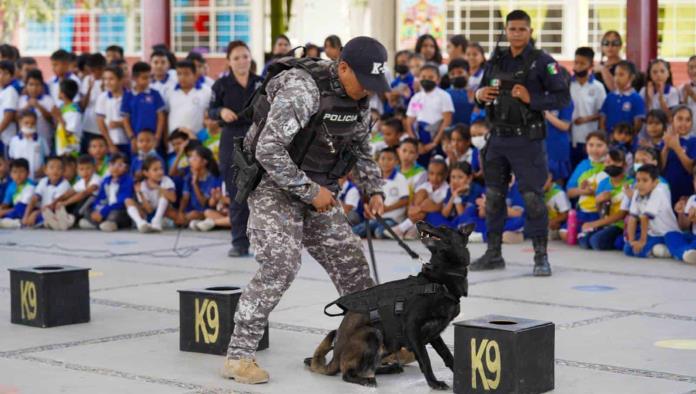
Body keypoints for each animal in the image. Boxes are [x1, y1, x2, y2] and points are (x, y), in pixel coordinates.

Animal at [304, 223, 474, 390]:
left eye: (443, 228)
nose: (419, 222)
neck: (440, 279)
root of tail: (335, 357)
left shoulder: (434, 334)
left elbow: (447, 355)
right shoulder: (412, 328)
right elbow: (425, 359)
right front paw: (434, 383)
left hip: (387, 346)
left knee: (371, 368)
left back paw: (390, 368)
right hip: (372, 334)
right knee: (348, 372)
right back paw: (365, 380)